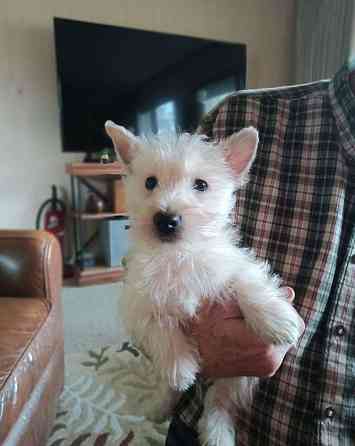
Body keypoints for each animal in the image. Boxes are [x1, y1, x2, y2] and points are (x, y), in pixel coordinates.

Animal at [104, 120, 304, 444]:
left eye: (201, 185)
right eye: (150, 182)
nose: (166, 220)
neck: (178, 255)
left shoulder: (231, 266)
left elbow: (247, 283)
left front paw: (276, 319)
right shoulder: (138, 301)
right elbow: (159, 325)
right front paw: (180, 366)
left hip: (237, 377)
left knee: (218, 404)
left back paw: (218, 434)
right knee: (179, 393)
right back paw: (159, 406)